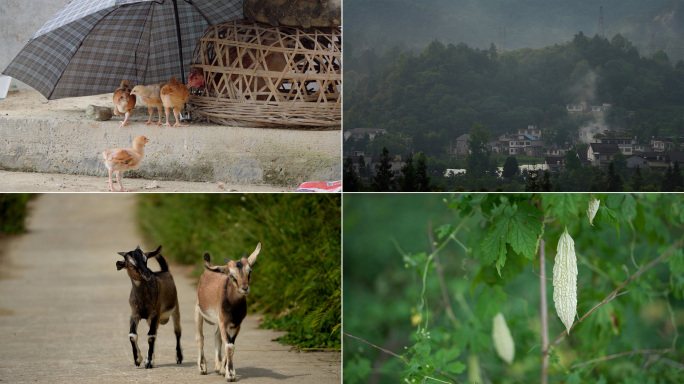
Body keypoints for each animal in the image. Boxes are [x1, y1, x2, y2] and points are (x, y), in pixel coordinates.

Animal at [198, 243, 264, 380]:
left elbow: (231, 344)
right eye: (231, 275)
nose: (245, 288)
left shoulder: (236, 324)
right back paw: (202, 368)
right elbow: (229, 345)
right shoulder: (224, 321)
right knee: (200, 337)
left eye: (249, 271)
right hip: (198, 311)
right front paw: (230, 375)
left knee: (217, 336)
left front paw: (224, 370)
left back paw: (217, 367)